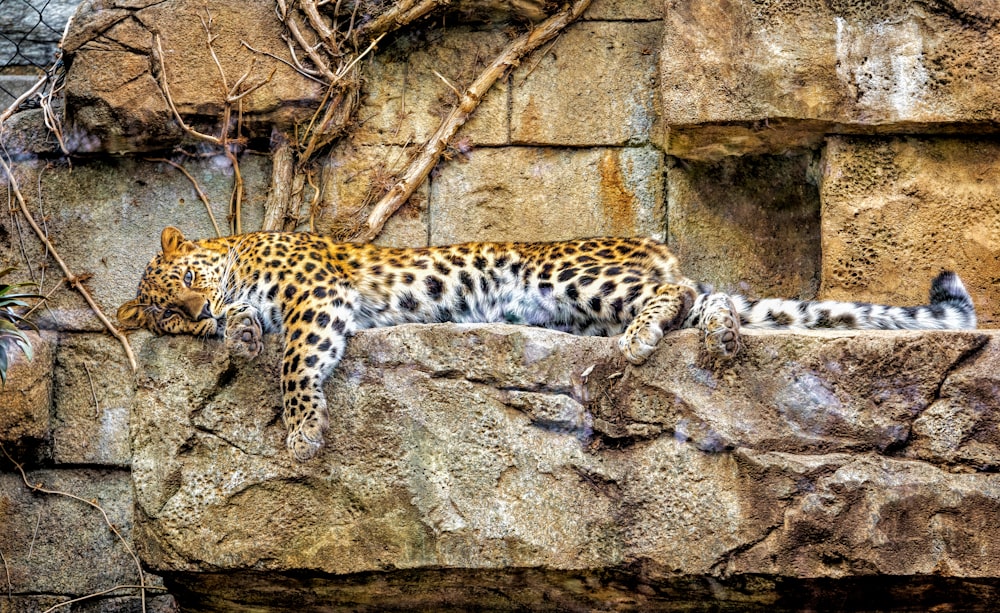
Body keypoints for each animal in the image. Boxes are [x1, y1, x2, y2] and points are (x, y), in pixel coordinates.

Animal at [117, 227, 976, 462]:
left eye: (188, 276)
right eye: (171, 312)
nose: (200, 306)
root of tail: (650, 243)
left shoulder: (316, 297)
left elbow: (297, 360)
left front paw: (300, 432)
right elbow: (255, 335)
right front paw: (236, 332)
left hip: (566, 276)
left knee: (673, 293)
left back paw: (642, 336)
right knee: (709, 299)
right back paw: (724, 333)